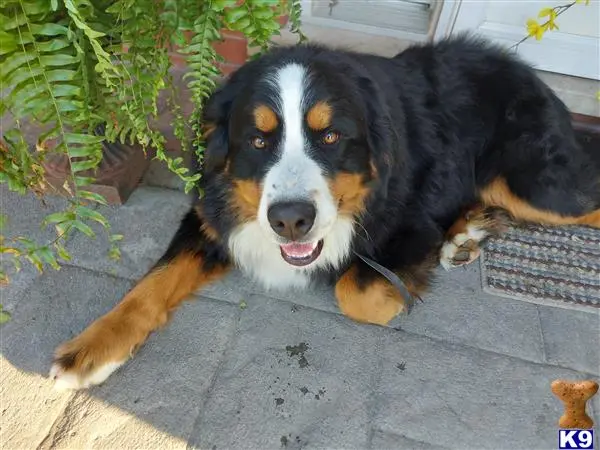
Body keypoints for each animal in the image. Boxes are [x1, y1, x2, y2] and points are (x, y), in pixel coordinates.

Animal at [50, 35, 600, 388]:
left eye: (331, 136)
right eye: (259, 139)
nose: (290, 219)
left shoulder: (410, 225)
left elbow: (357, 292)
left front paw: (397, 294)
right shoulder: (210, 215)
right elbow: (148, 287)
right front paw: (90, 349)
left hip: (535, 185)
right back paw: (469, 231)